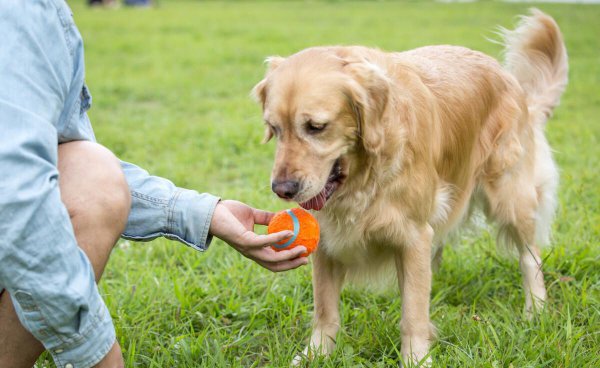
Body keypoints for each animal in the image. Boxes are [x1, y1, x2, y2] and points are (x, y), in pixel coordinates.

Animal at [251, 8, 564, 366]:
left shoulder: (413, 236)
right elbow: (325, 310)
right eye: (274, 128)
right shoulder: (328, 238)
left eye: (316, 127)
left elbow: (412, 312)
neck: (365, 179)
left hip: (509, 195)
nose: (282, 189)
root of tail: (510, 80)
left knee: (530, 255)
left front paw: (416, 357)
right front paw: (316, 354)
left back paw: (535, 309)